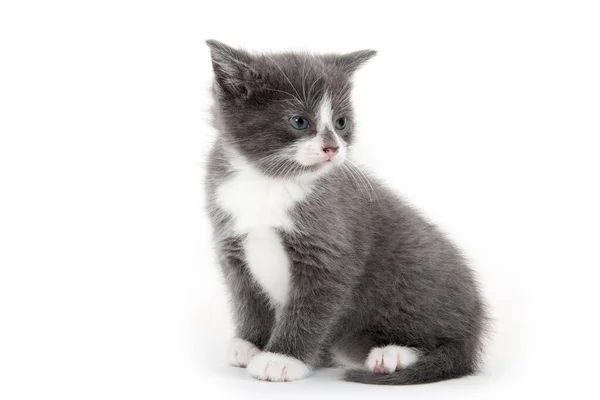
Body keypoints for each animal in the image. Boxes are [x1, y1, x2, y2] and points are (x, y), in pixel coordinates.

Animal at [204, 39, 486, 384]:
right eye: (299, 121)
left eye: (341, 123)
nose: (333, 148)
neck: (269, 181)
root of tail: (474, 331)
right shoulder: (231, 247)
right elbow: (248, 298)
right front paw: (251, 345)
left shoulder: (329, 252)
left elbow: (310, 309)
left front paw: (282, 358)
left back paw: (392, 354)